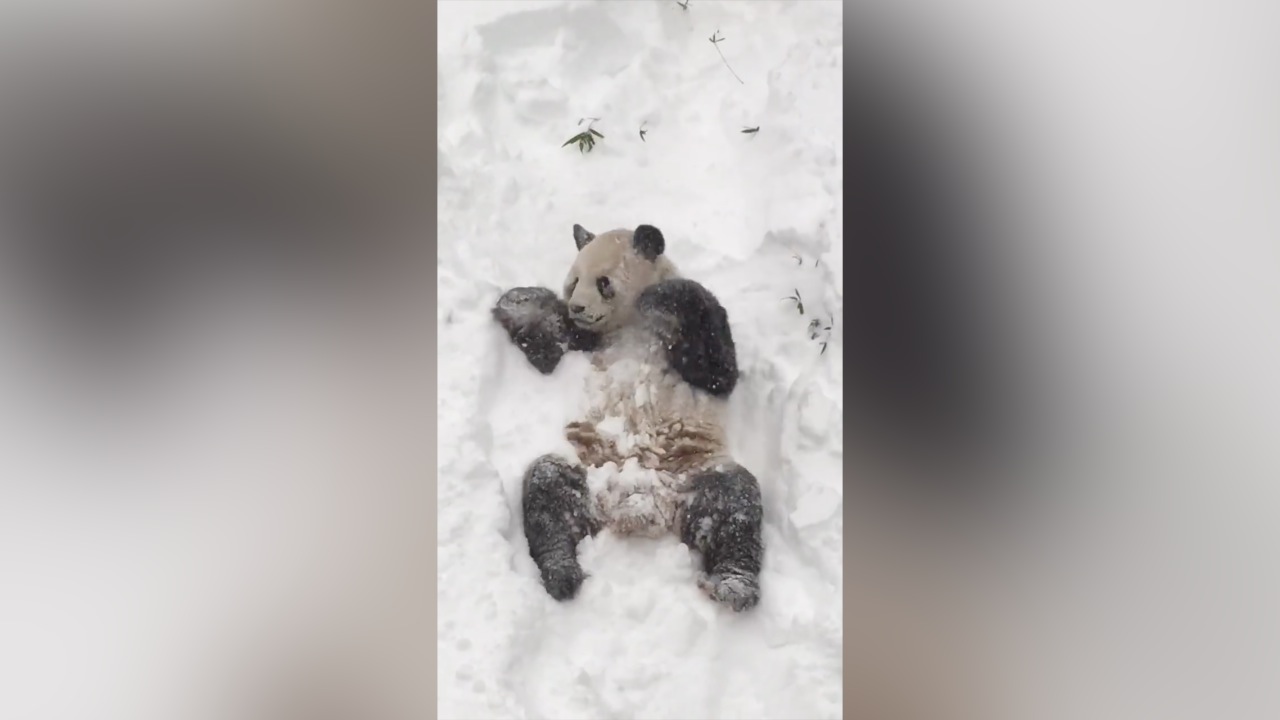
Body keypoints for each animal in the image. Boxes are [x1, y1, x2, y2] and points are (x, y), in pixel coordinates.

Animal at [492, 223, 764, 612]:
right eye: (573, 282)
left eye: (603, 282)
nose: (576, 307)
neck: (630, 326)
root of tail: (636, 509)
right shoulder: (586, 345)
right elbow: (551, 348)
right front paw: (520, 301)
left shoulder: (687, 340)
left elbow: (718, 369)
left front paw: (667, 292)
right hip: (588, 471)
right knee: (548, 489)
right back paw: (561, 571)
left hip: (695, 471)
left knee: (734, 504)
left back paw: (733, 586)